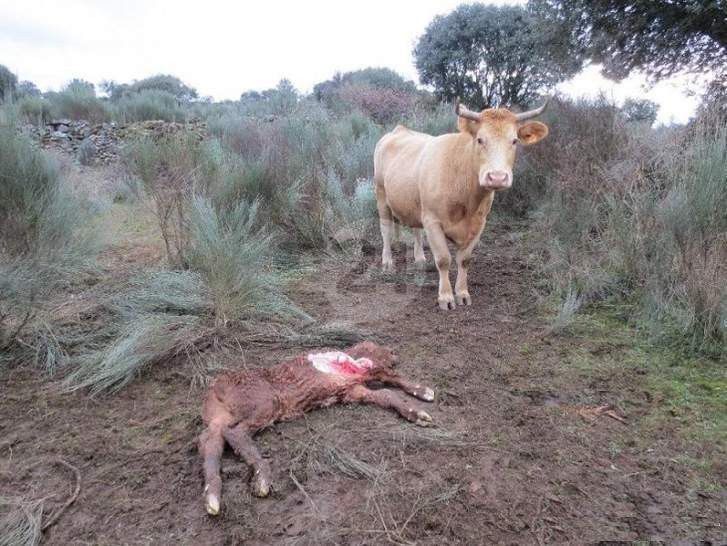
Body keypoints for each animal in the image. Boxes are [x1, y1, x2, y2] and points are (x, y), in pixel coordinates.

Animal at [376, 99, 552, 308]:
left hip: (413, 202)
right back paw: (387, 262)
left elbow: (465, 259)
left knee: (415, 229)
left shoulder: (480, 223)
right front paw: (445, 297)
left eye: (515, 141)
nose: (497, 177)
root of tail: (399, 130)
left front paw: (462, 293)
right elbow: (443, 259)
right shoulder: (433, 221)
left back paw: (419, 259)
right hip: (381, 196)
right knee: (386, 230)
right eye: (480, 140)